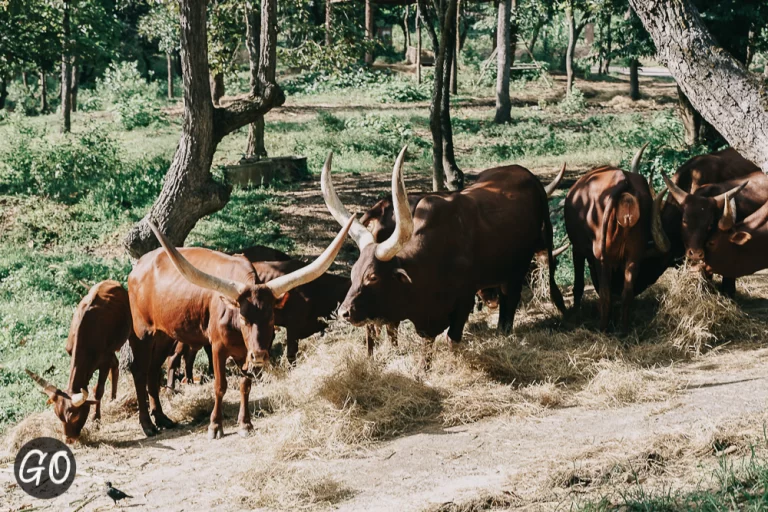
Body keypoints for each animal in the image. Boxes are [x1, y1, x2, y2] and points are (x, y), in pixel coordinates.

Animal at [26, 280, 130, 444]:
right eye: (58, 416)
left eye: (74, 416)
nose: (68, 439)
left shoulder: (104, 361)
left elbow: (98, 391)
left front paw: (96, 420)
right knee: (115, 365)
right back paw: (113, 398)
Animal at [320, 147, 568, 348]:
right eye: (353, 273)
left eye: (372, 277)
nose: (344, 312)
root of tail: (521, 171)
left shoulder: (463, 302)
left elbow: (452, 339)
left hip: (526, 260)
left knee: (514, 302)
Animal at [564, 147, 672, 332]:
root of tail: (623, 182)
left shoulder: (577, 249)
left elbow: (579, 285)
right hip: (633, 255)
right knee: (626, 294)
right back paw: (623, 330)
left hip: (602, 257)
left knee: (605, 295)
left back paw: (603, 329)